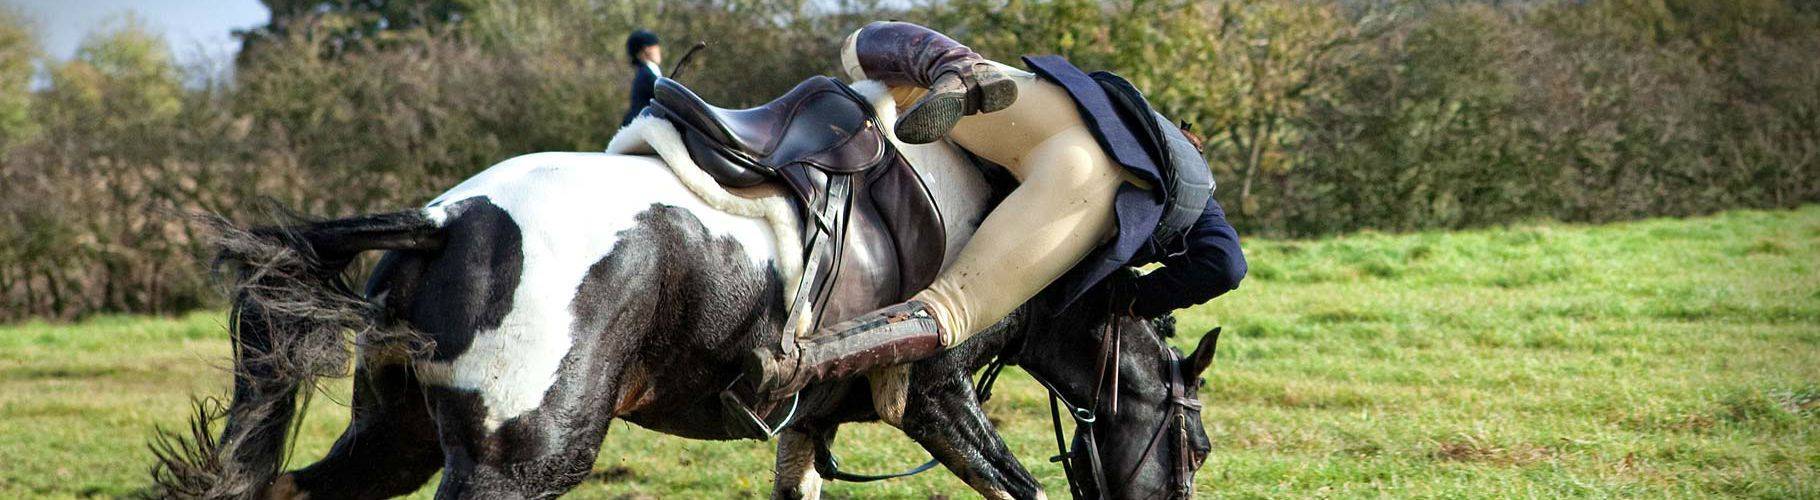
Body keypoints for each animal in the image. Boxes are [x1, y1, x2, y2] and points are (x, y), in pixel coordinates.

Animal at [151, 83, 1219, 499]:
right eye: (1198, 445)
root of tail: (447, 220)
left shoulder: (804, 427)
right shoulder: (940, 403)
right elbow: (1019, 486)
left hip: (396, 437)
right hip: (517, 464)